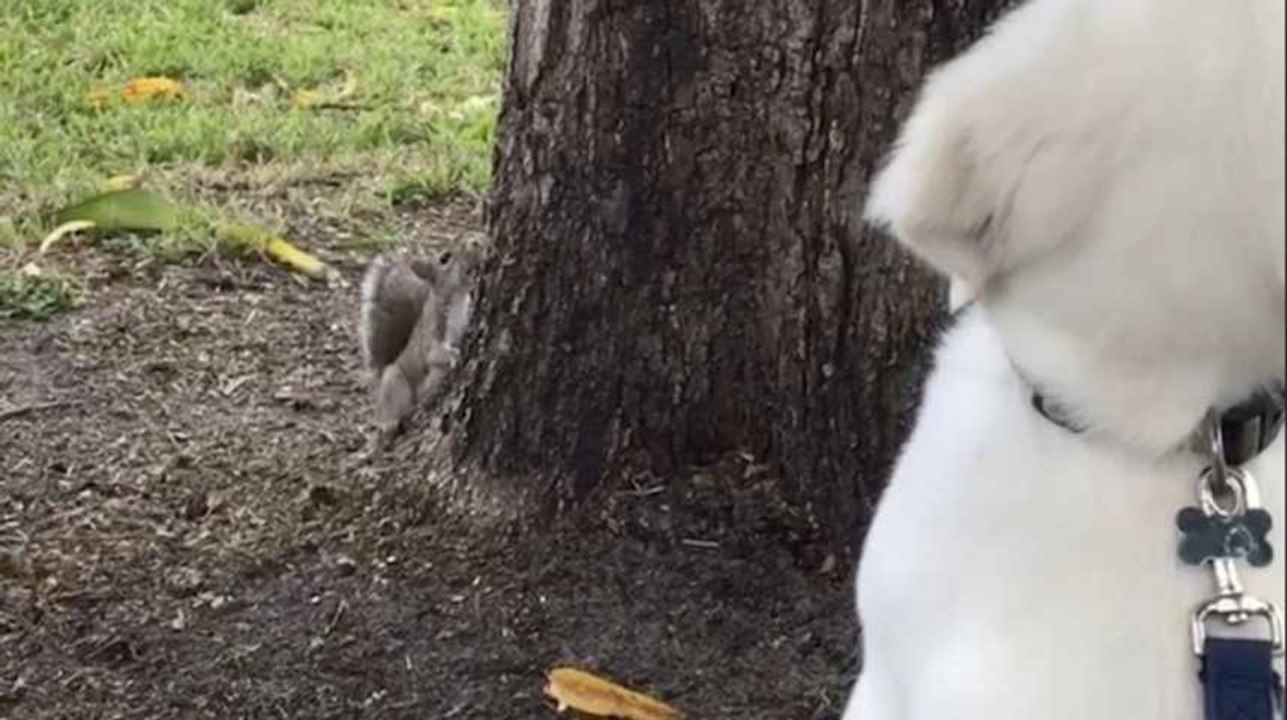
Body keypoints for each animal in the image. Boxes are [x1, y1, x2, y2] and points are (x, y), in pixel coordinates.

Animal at [358, 232, 483, 439]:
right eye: (444, 258)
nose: (475, 241)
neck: (458, 300)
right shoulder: (433, 332)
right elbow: (433, 355)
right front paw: (452, 355)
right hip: (395, 381)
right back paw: (389, 423)